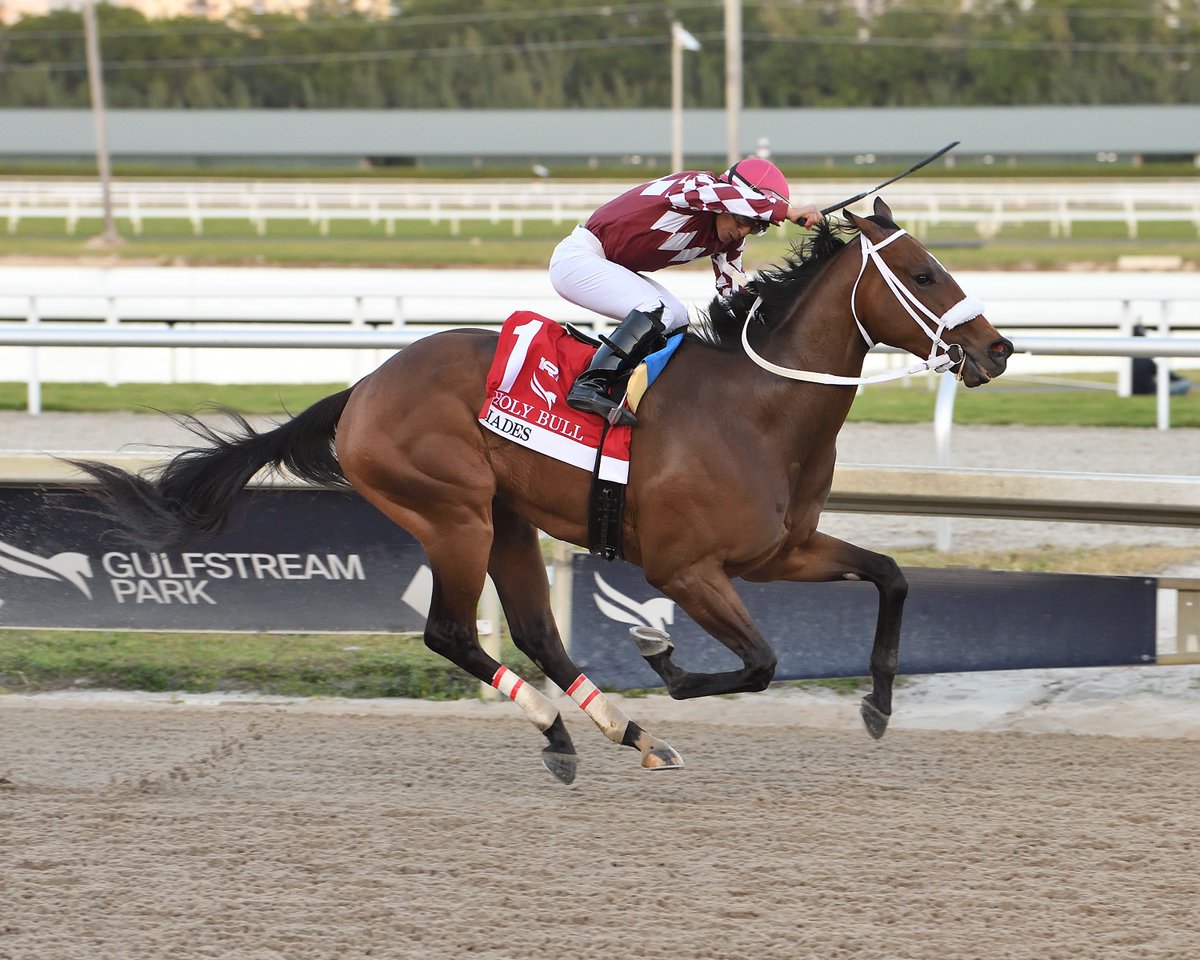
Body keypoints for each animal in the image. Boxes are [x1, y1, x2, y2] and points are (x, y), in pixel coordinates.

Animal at [72, 199, 1012, 782]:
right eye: (924, 275)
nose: (997, 350)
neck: (756, 409)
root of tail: (363, 388)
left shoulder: (783, 550)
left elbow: (891, 575)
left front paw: (879, 703)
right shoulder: (685, 570)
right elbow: (759, 663)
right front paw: (663, 657)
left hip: (507, 520)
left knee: (536, 634)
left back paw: (626, 735)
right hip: (451, 516)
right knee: (453, 633)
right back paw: (562, 730)